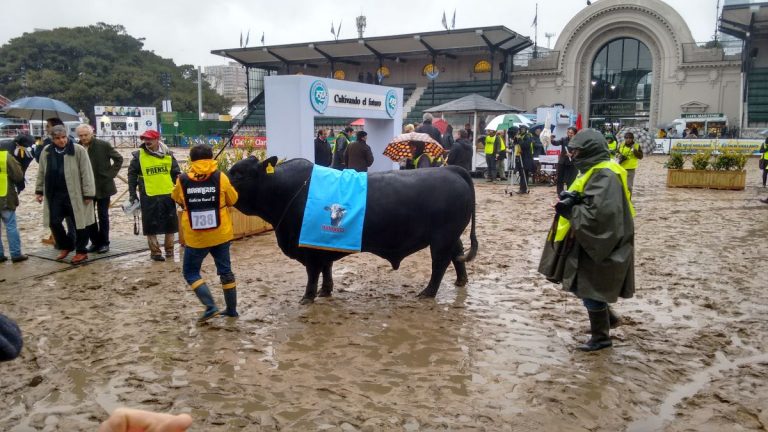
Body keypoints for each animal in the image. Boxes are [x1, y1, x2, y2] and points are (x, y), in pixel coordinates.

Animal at [230, 156, 480, 304]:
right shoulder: (323, 243)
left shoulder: (309, 249)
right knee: (458, 254)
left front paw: (308, 297)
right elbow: (326, 268)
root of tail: (451, 170)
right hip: (451, 236)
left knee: (440, 263)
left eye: (239, 174)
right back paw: (460, 281)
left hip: (442, 238)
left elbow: (313, 272)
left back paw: (428, 292)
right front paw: (325, 290)